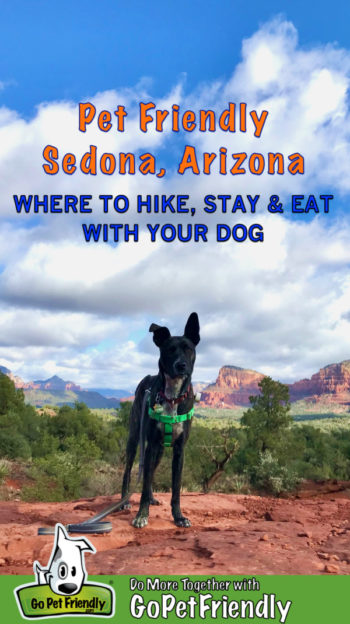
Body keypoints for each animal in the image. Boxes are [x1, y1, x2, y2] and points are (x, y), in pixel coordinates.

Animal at [121, 312, 200, 528]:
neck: (172, 396)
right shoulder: (150, 446)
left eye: (188, 349)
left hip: (161, 451)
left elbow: (176, 489)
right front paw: (141, 515)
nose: (181, 366)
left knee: (151, 475)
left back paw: (152, 497)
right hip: (134, 439)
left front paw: (179, 516)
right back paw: (124, 501)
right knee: (128, 471)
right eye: (169, 350)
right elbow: (143, 482)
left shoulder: (179, 450)